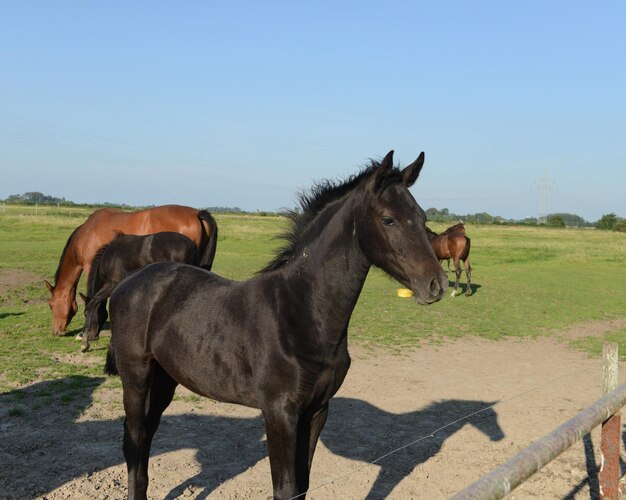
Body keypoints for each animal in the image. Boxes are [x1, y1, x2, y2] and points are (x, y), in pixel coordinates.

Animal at [79, 230, 216, 352]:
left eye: (85, 314)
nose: (93, 336)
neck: (110, 257)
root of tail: (191, 245)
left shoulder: (113, 284)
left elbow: (93, 302)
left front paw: (84, 341)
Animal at [103, 150, 444, 498]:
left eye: (422, 218)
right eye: (388, 219)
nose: (435, 285)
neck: (301, 313)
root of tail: (128, 282)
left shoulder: (317, 410)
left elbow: (302, 485)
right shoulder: (279, 413)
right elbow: (286, 487)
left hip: (165, 379)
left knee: (146, 435)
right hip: (136, 377)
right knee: (134, 439)